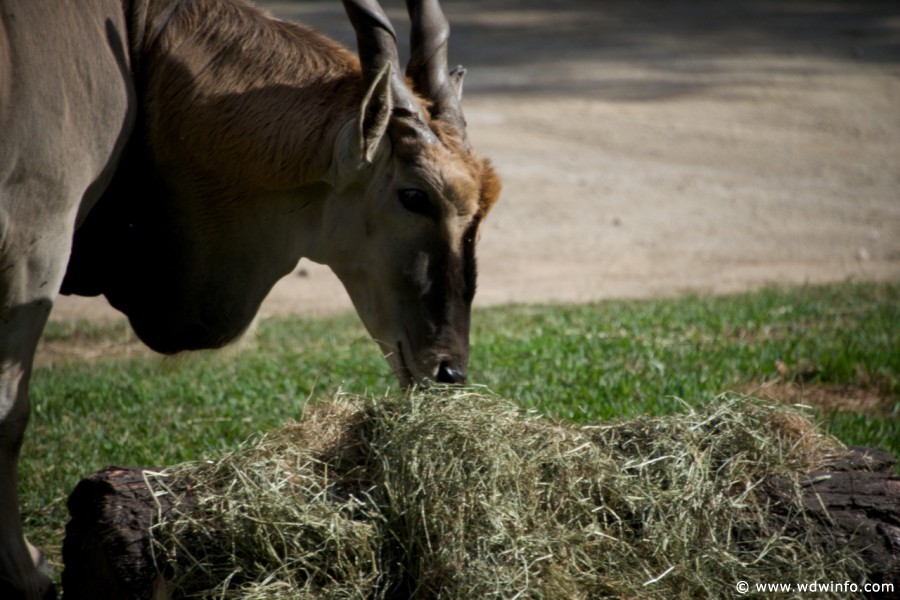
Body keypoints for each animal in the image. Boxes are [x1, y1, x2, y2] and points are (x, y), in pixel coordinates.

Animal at [0, 0, 500, 596]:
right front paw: (27, 572)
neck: (136, 45)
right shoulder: (35, 246)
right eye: (414, 195)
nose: (449, 372)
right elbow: (11, 411)